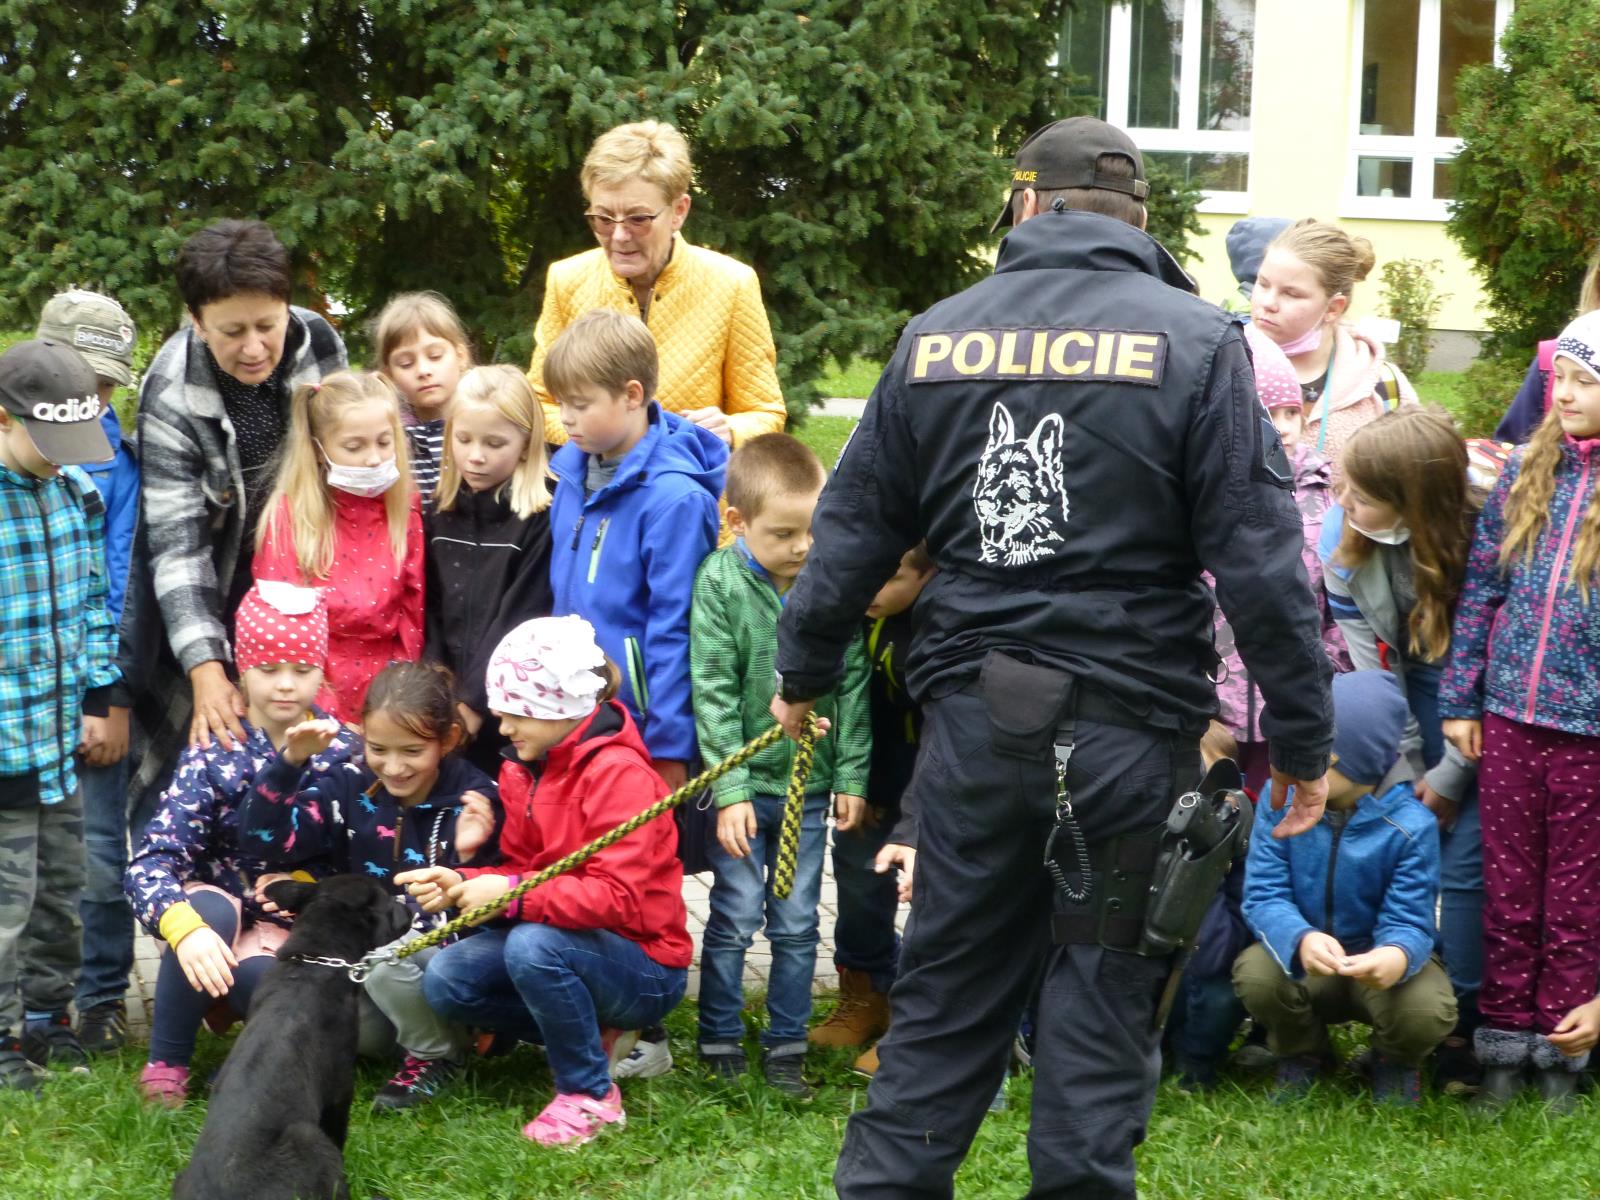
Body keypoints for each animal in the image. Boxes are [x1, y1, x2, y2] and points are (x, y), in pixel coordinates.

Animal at [173, 876, 412, 1200]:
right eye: (388, 901)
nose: (410, 909)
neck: (312, 960)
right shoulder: (340, 1087)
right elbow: (339, 1132)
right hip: (310, 1139)